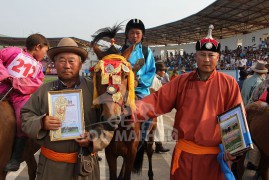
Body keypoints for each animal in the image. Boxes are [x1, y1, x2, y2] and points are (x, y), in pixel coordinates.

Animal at [91, 24, 156, 180]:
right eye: (98, 75)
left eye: (126, 75)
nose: (111, 118)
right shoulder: (111, 153)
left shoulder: (132, 152)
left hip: (151, 135)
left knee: (149, 152)